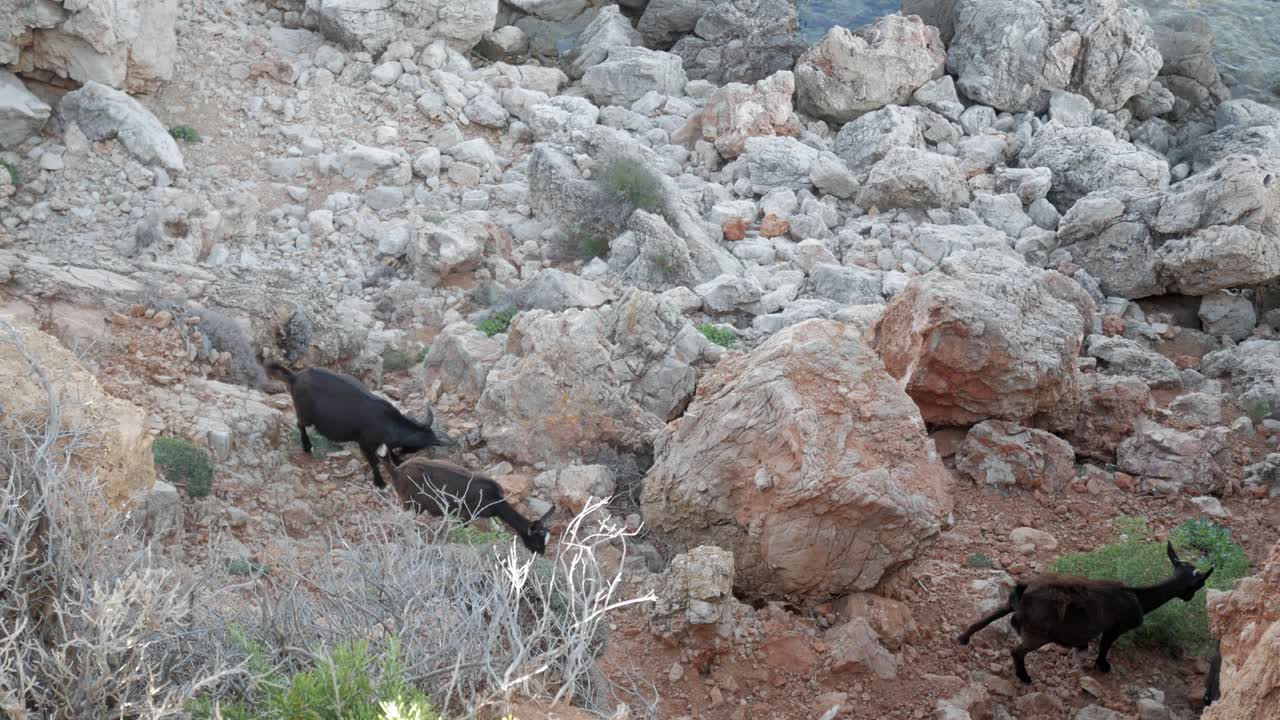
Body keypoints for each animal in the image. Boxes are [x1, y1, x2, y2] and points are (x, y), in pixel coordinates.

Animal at [265, 361, 455, 489]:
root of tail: (294, 377)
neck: (388, 422)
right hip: (305, 413)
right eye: (421, 445)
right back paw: (306, 445)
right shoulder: (365, 443)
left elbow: (389, 451)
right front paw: (380, 483)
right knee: (300, 424)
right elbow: (374, 462)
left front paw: (397, 460)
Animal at [375, 444, 554, 555]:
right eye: (537, 542)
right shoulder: (465, 515)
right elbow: (463, 532)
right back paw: (418, 543)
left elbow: (496, 528)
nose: (539, 555)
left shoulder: (486, 515)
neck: (495, 500)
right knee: (403, 521)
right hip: (413, 503)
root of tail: (397, 471)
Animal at [957, 542, 1214, 684]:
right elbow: (1104, 648)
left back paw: (963, 638)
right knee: (1016, 651)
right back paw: (1025, 678)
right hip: (1039, 633)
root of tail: (1025, 589)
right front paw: (1103, 666)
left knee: (986, 618)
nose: (1189, 597)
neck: (1139, 598)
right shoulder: (1115, 628)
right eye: (1199, 584)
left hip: (1011, 606)